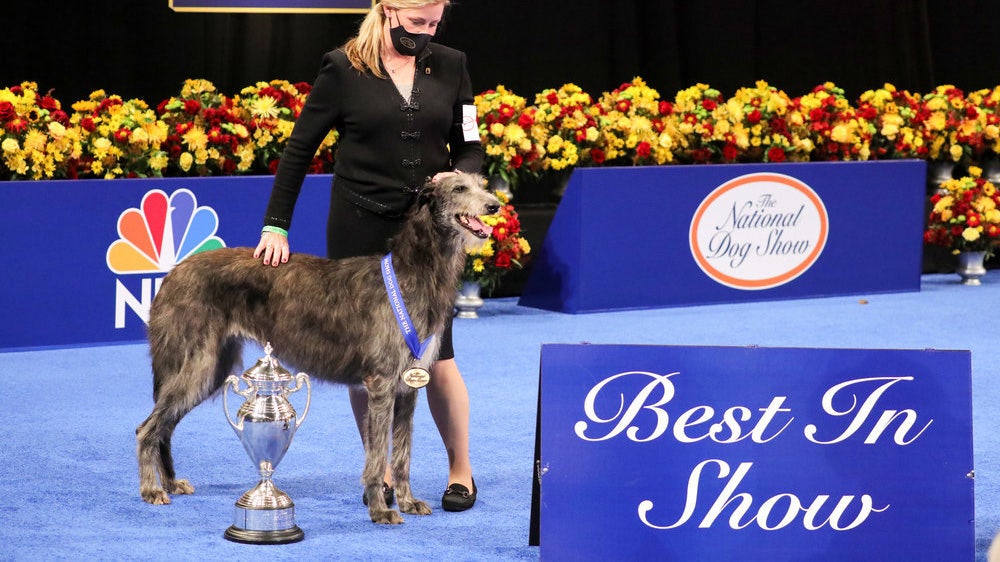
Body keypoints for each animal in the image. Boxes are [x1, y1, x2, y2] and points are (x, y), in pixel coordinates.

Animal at [135, 170, 500, 520]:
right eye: (459, 189)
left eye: (481, 184)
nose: (495, 205)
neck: (412, 271)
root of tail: (174, 272)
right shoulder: (382, 383)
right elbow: (378, 453)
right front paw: (381, 510)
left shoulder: (409, 384)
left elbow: (402, 453)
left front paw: (407, 502)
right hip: (199, 362)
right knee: (146, 427)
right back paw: (151, 489)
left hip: (213, 367)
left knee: (165, 425)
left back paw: (169, 482)